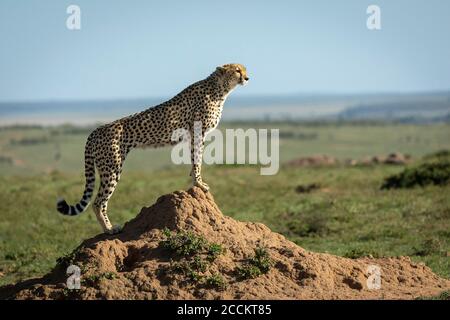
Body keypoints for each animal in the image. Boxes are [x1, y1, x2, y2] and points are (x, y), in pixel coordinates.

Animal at [56, 62, 250, 234]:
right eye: (237, 70)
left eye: (244, 69)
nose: (247, 78)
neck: (219, 89)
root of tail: (95, 130)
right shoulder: (198, 133)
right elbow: (197, 160)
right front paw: (199, 184)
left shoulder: (193, 136)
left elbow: (194, 159)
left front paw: (194, 180)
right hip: (111, 168)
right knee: (98, 202)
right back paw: (109, 230)